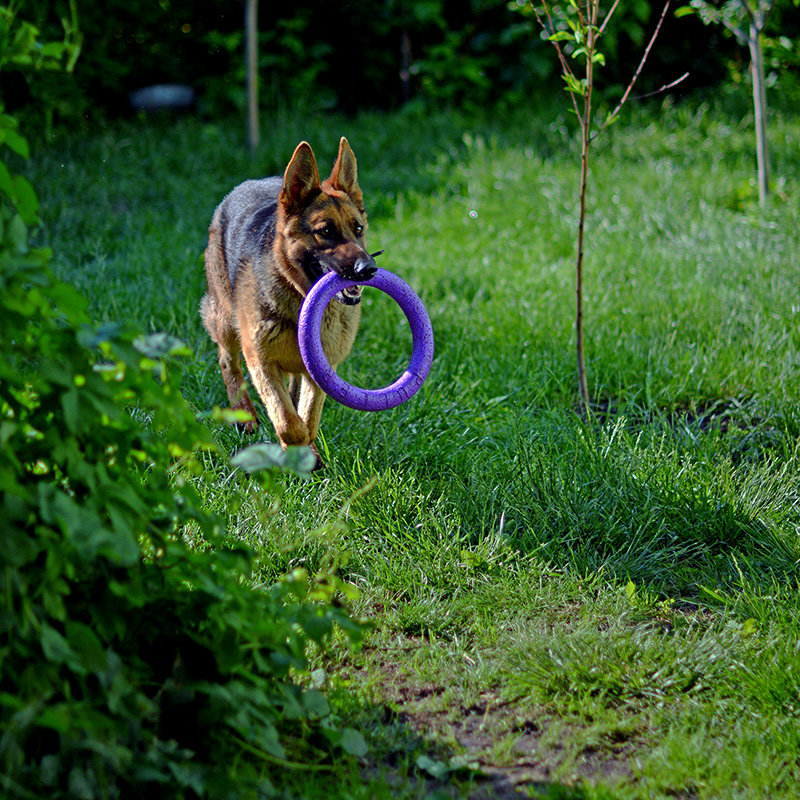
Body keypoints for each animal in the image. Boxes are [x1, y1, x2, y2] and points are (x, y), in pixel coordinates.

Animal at [198, 137, 376, 462]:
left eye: (358, 229)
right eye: (325, 231)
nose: (368, 269)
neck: (301, 301)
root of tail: (250, 183)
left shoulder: (321, 367)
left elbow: (308, 413)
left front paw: (308, 450)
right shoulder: (261, 361)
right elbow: (286, 419)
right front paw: (297, 448)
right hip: (225, 321)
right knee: (227, 361)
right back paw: (243, 414)